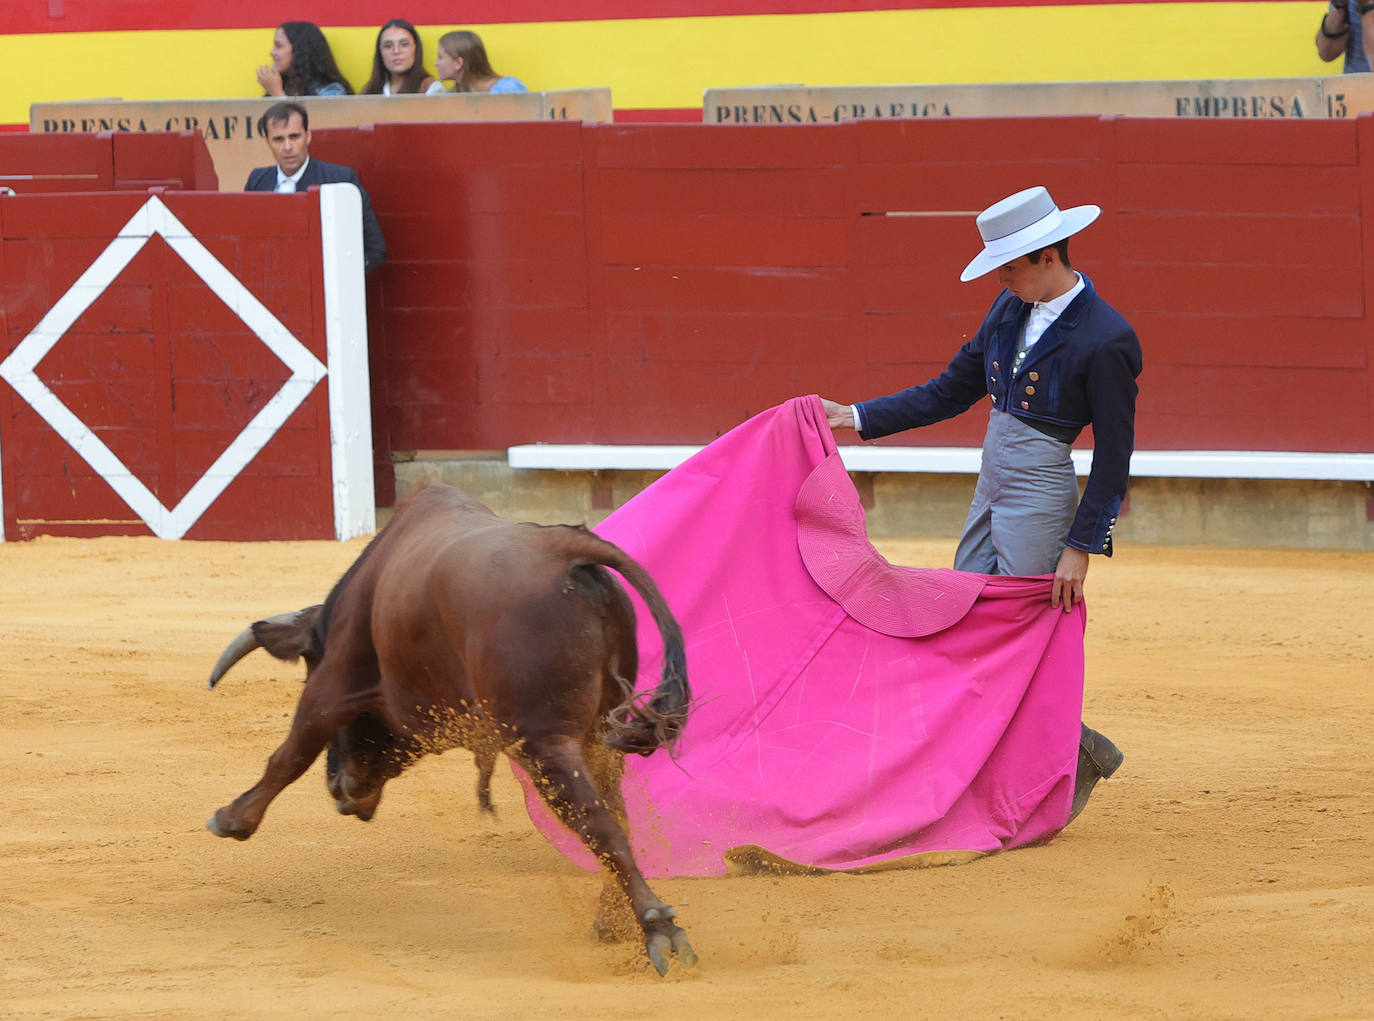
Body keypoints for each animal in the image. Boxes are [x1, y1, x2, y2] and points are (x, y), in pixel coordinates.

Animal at [203, 483, 697, 978]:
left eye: (308, 664)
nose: (338, 786)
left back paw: (658, 926)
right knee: (616, 817)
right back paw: (611, 922)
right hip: (599, 732)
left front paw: (230, 818)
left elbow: (292, 751)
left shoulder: (335, 682)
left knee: (598, 822)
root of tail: (565, 547)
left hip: (544, 743)